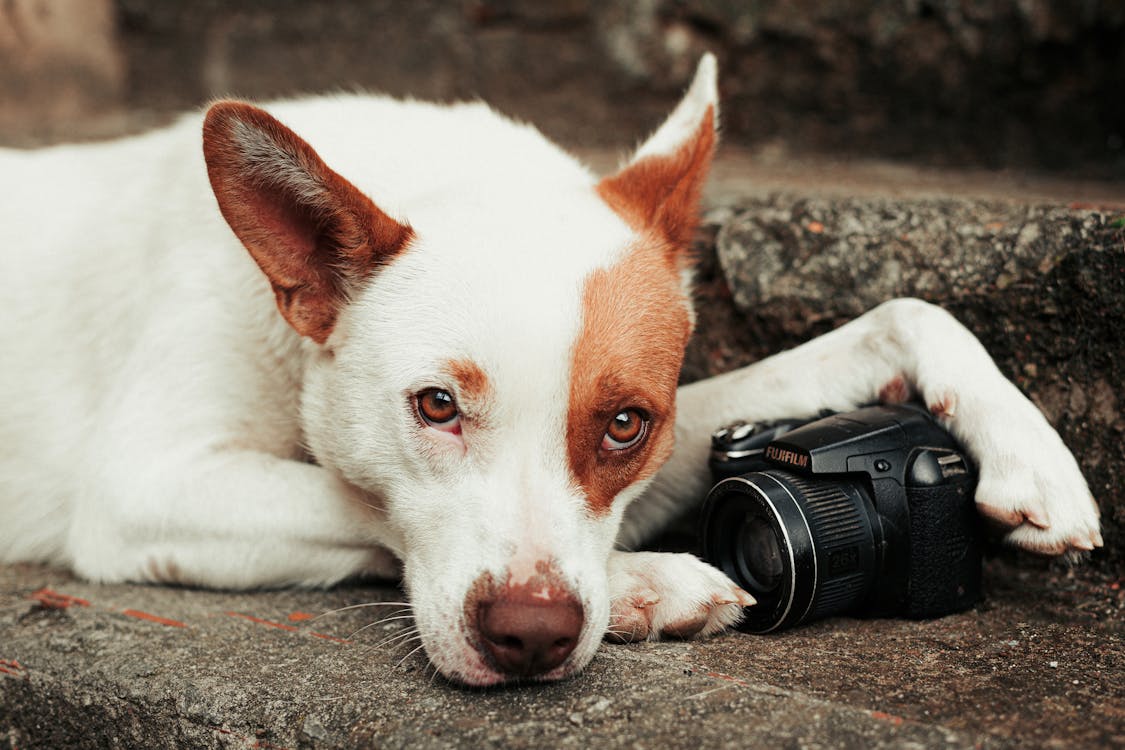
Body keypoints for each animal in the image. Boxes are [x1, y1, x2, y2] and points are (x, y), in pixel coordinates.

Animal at [0, 52, 1098, 688]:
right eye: (434, 405)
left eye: (625, 425)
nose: (530, 636)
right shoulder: (143, 488)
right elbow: (356, 504)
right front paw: (642, 580)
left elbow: (902, 312)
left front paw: (1035, 462)